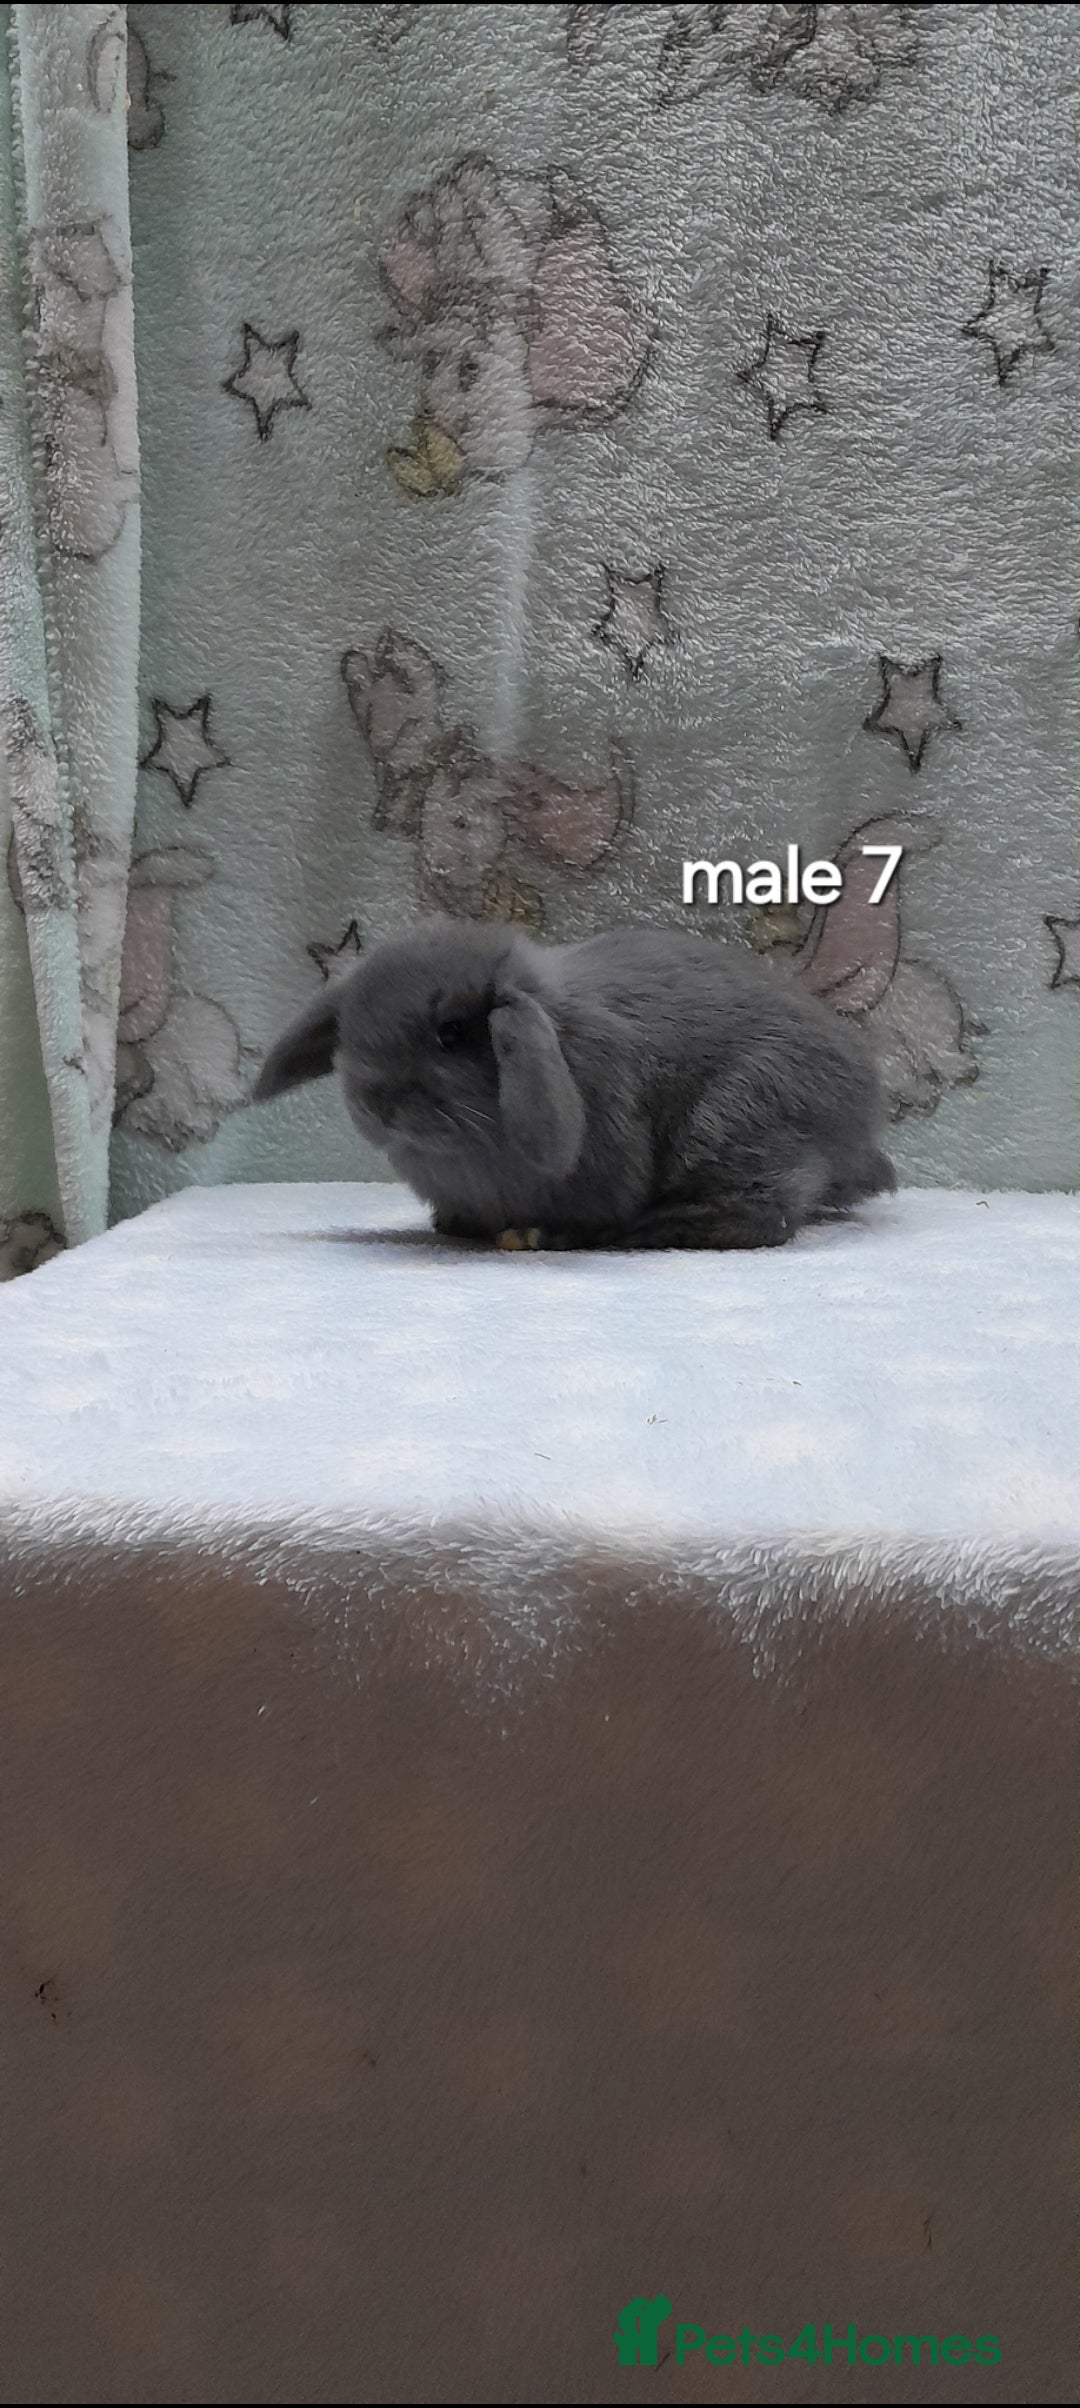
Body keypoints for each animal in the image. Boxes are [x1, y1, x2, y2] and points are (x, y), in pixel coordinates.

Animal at [253, 918, 895, 1250]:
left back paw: (647, 1229)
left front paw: (540, 1235)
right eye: (349, 1027)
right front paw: (454, 1225)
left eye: (451, 1033)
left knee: (766, 1214)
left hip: (735, 1122)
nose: (374, 1103)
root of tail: (861, 1129)